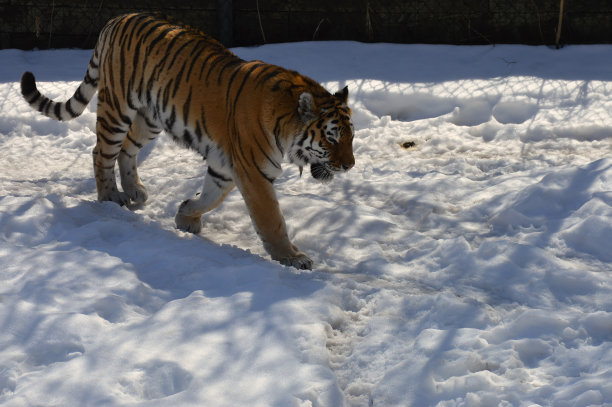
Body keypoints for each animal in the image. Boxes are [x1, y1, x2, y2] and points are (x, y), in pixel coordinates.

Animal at [20, 12, 354, 270]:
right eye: (331, 138)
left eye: (351, 138)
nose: (350, 166)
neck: (285, 125)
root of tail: (117, 19)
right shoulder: (254, 173)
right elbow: (271, 219)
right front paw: (292, 257)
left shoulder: (225, 167)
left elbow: (210, 197)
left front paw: (185, 215)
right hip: (117, 108)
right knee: (101, 152)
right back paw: (110, 197)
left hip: (149, 119)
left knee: (127, 150)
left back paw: (134, 191)